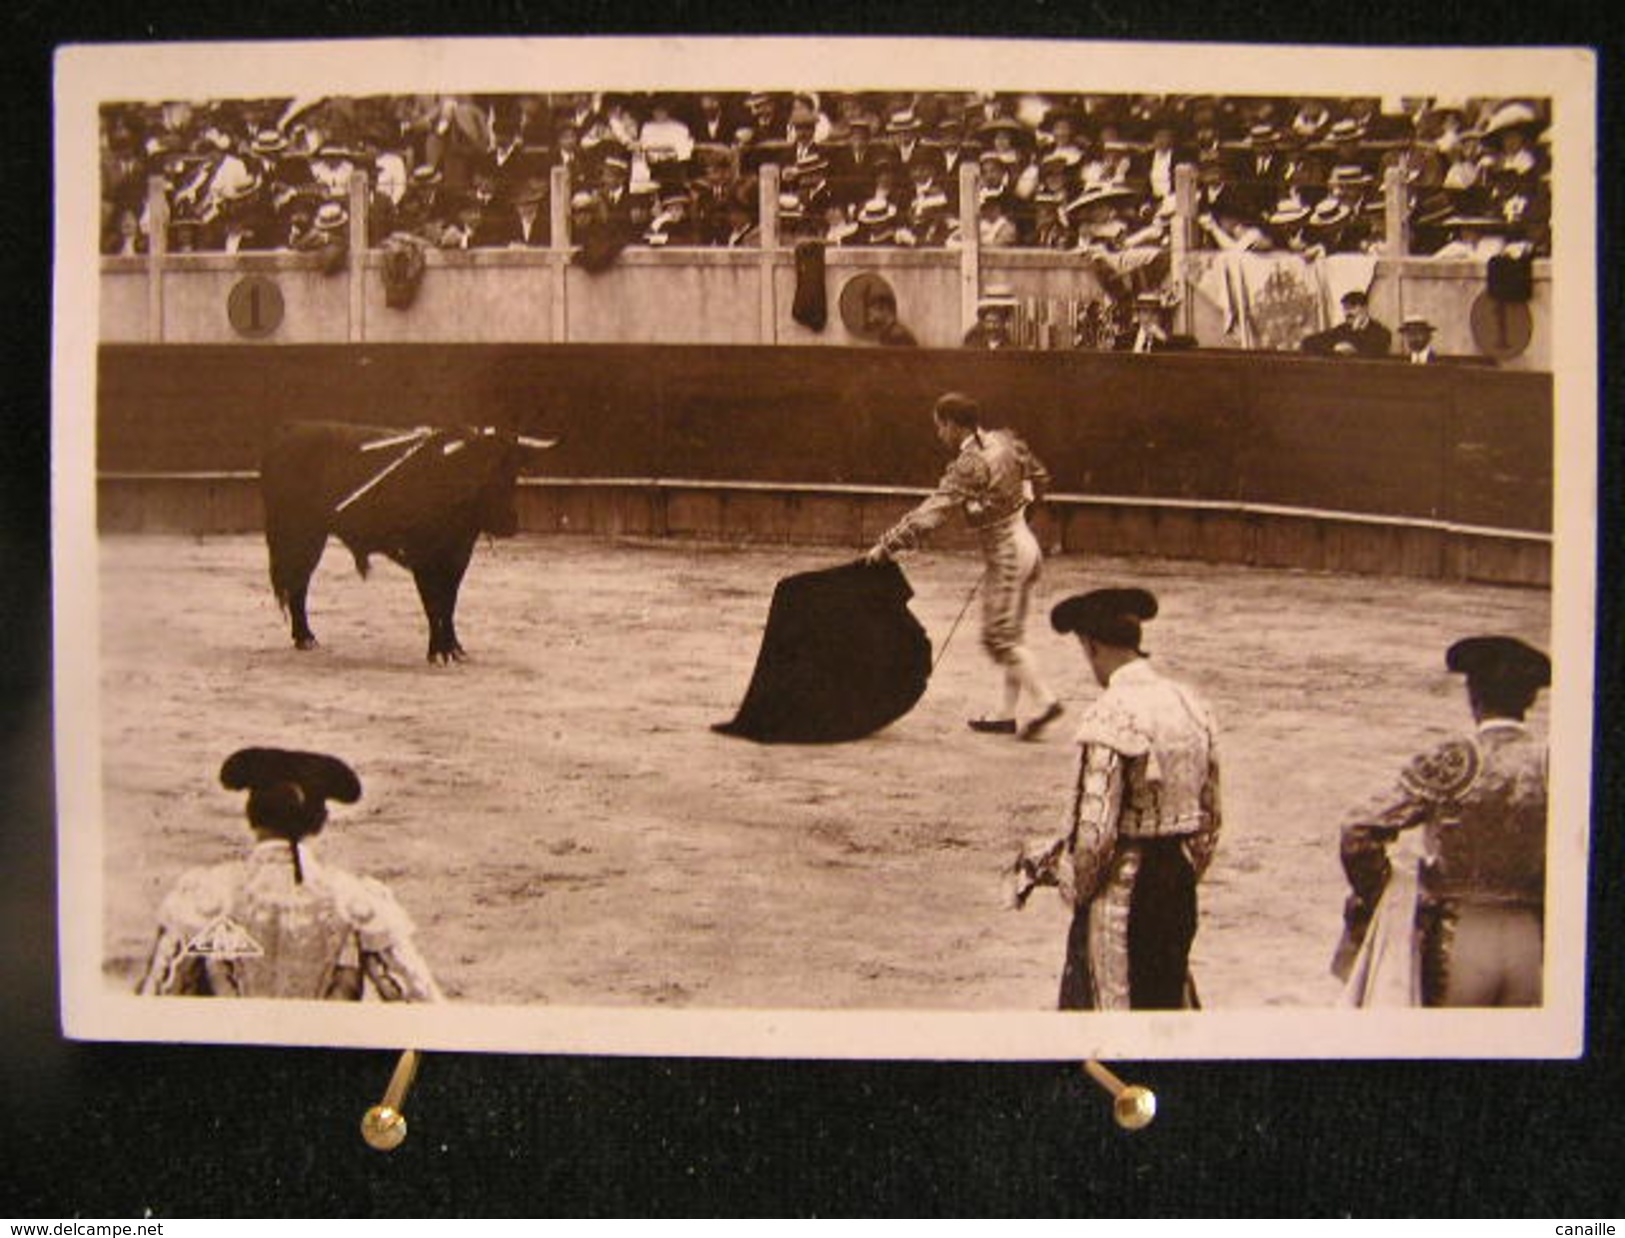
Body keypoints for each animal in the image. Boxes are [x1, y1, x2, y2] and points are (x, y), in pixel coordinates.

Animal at [260, 419, 552, 659]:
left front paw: (454, 648)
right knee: (297, 582)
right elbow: (434, 603)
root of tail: (287, 432)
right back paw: (305, 638)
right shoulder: (424, 558)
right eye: (482, 473)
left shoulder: (457, 557)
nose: (509, 524)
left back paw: (305, 638)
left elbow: (449, 603)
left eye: (514, 471)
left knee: (298, 582)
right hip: (297, 535)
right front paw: (438, 652)